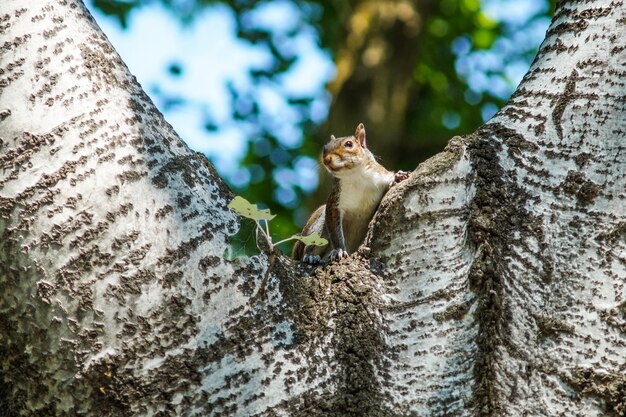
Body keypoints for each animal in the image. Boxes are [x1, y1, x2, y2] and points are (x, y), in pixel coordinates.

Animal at [290, 122, 408, 264]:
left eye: (349, 144)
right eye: (324, 148)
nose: (327, 160)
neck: (355, 175)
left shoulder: (381, 176)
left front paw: (398, 177)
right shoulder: (334, 202)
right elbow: (335, 232)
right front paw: (339, 250)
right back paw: (310, 256)